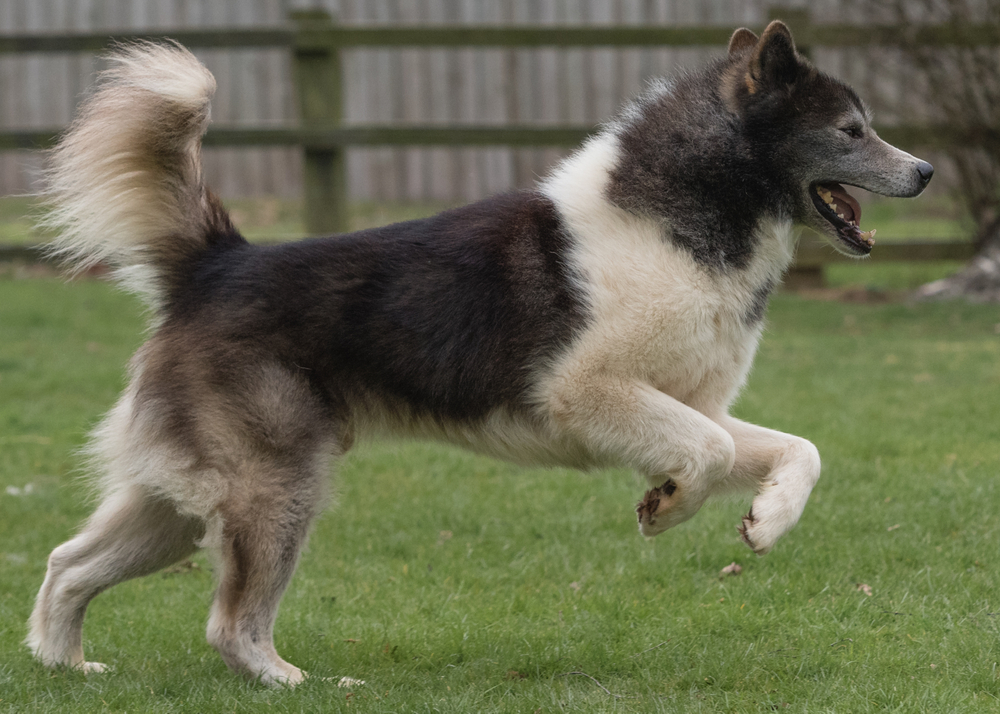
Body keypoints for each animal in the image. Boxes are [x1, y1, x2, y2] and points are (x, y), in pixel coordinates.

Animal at [27, 22, 932, 684]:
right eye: (852, 131)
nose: (925, 170)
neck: (685, 219)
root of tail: (217, 263)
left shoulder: (689, 402)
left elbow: (798, 452)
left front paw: (763, 521)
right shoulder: (589, 394)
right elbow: (705, 453)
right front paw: (666, 506)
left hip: (177, 506)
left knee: (66, 562)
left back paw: (64, 666)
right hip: (274, 489)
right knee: (227, 624)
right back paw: (293, 681)